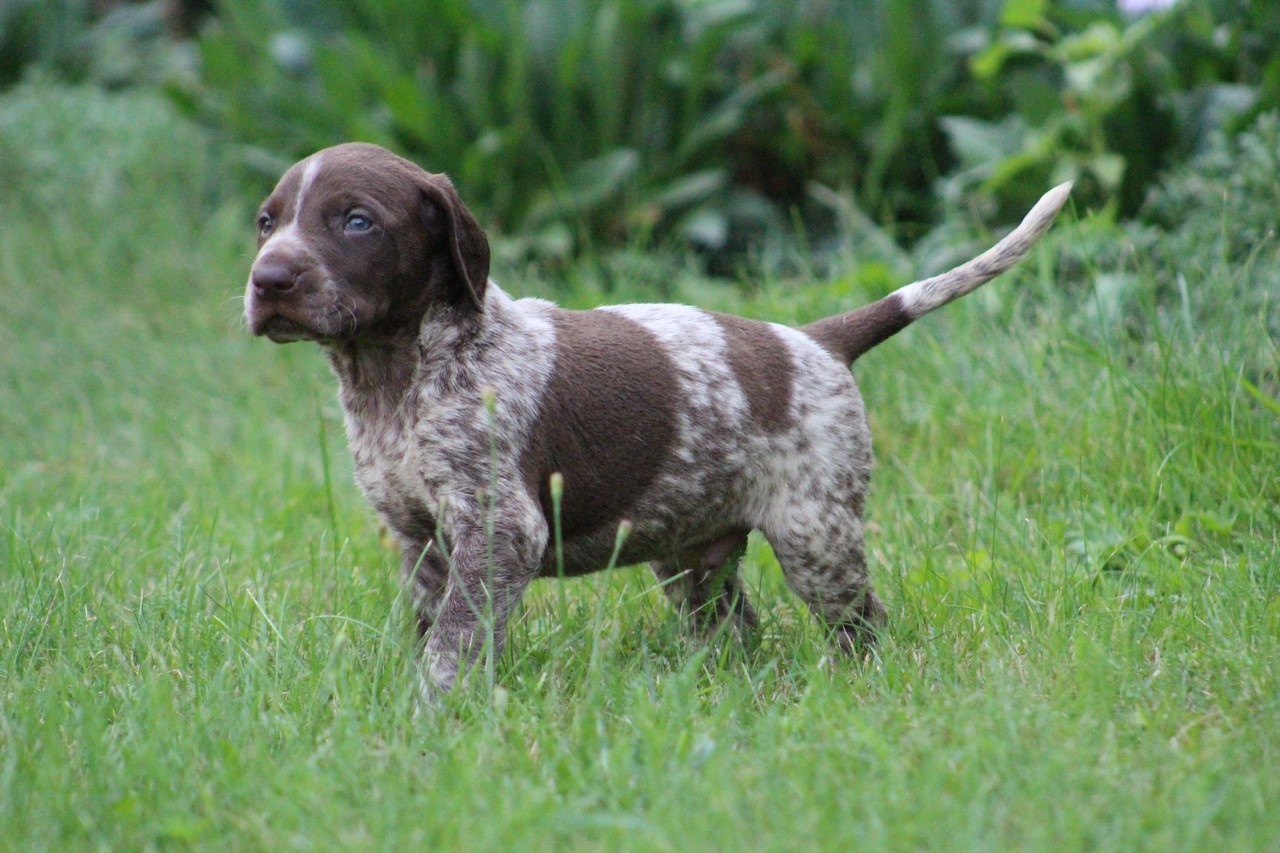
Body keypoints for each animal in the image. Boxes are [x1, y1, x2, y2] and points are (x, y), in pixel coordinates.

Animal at [241, 140, 1070, 696]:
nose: (268, 279)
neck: (392, 376)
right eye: (266, 222)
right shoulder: (419, 538)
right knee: (737, 629)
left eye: (356, 221)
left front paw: (436, 713)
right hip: (693, 556)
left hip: (816, 534)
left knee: (862, 623)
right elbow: (432, 625)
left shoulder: (498, 529)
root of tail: (816, 339)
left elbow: (454, 641)